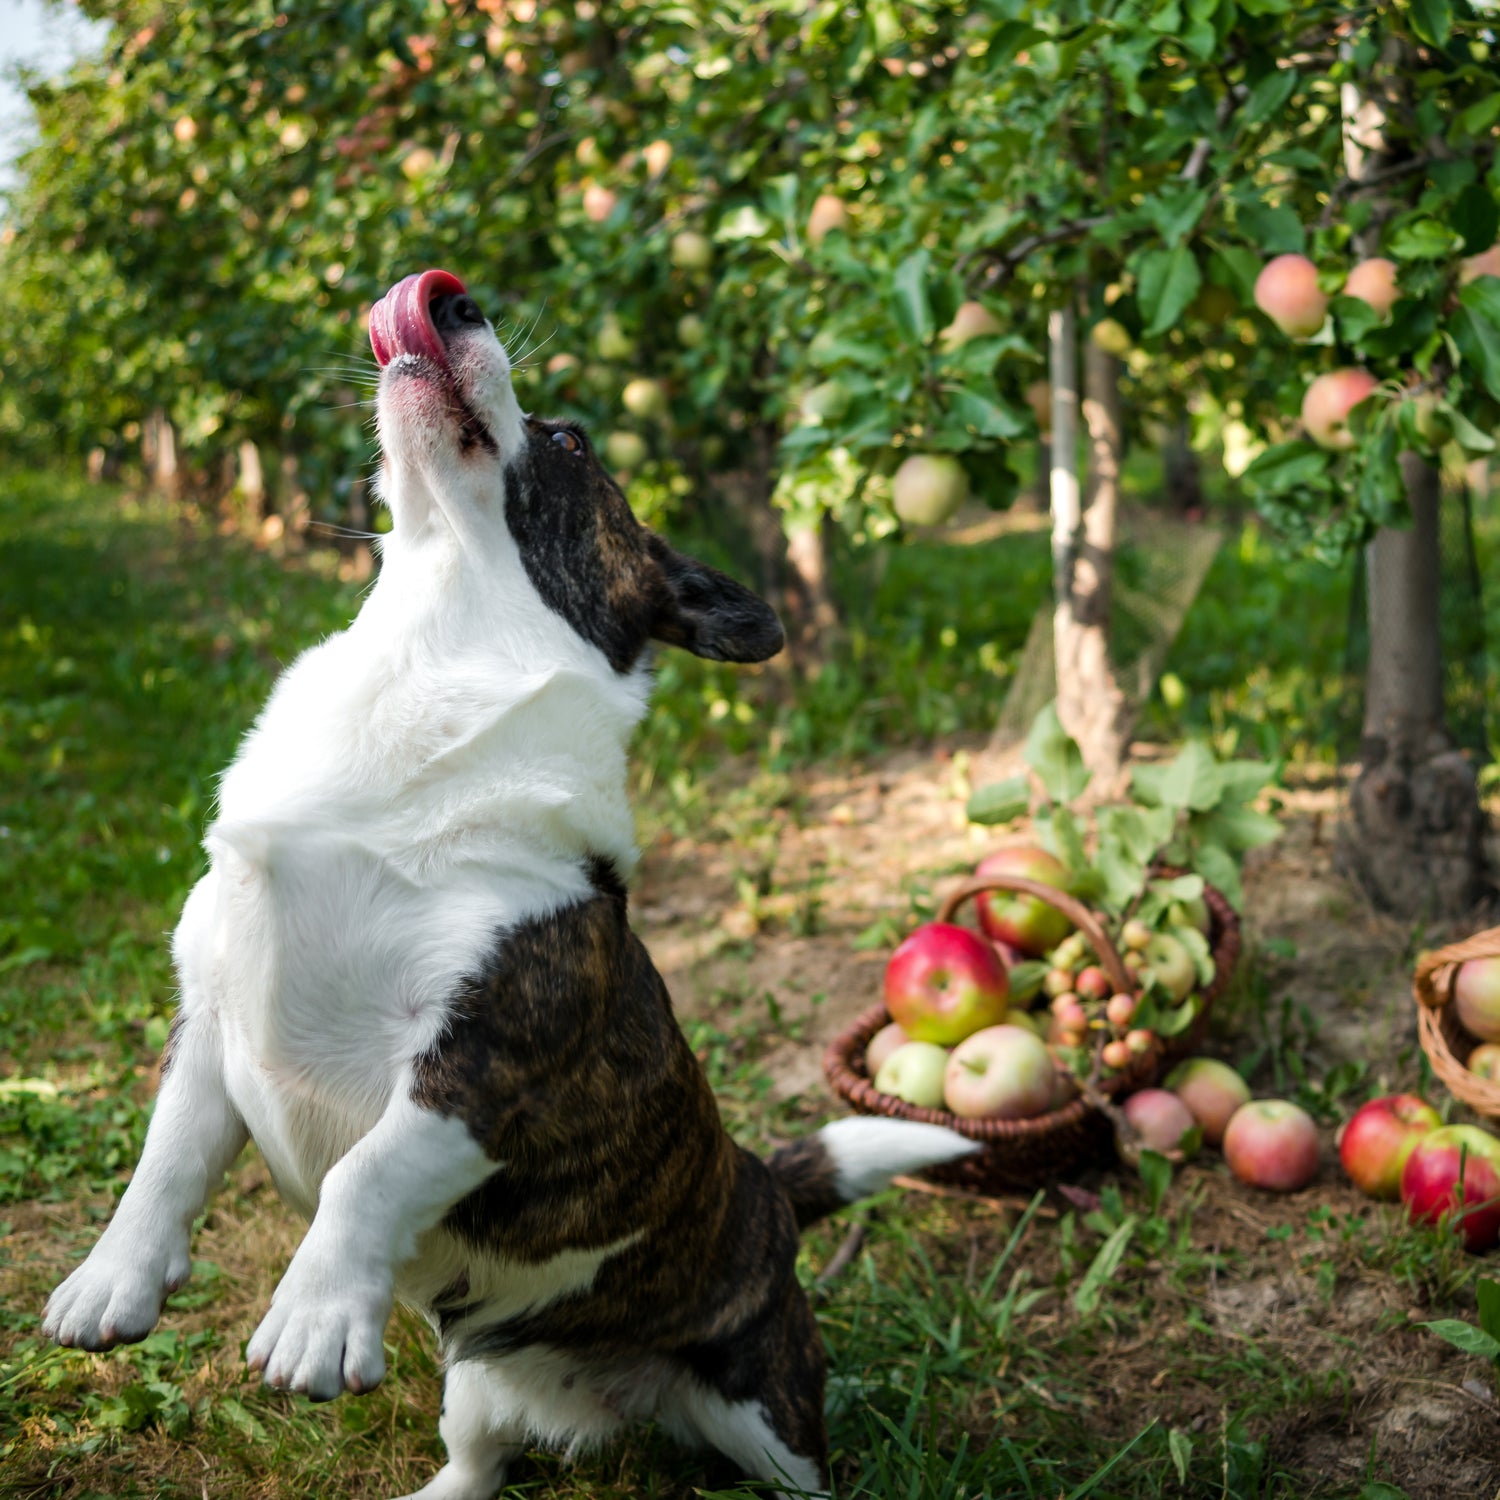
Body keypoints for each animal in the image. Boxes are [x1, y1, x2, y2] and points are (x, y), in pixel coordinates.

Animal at [41, 270, 972, 1500]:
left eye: (570, 440)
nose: (448, 296)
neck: (433, 653)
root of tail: (764, 1190)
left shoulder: (481, 1068)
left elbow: (365, 1176)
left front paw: (315, 1315)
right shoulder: (213, 1023)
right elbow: (164, 1161)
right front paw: (113, 1283)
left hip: (769, 1413)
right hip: (477, 1380)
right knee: (480, 1458)